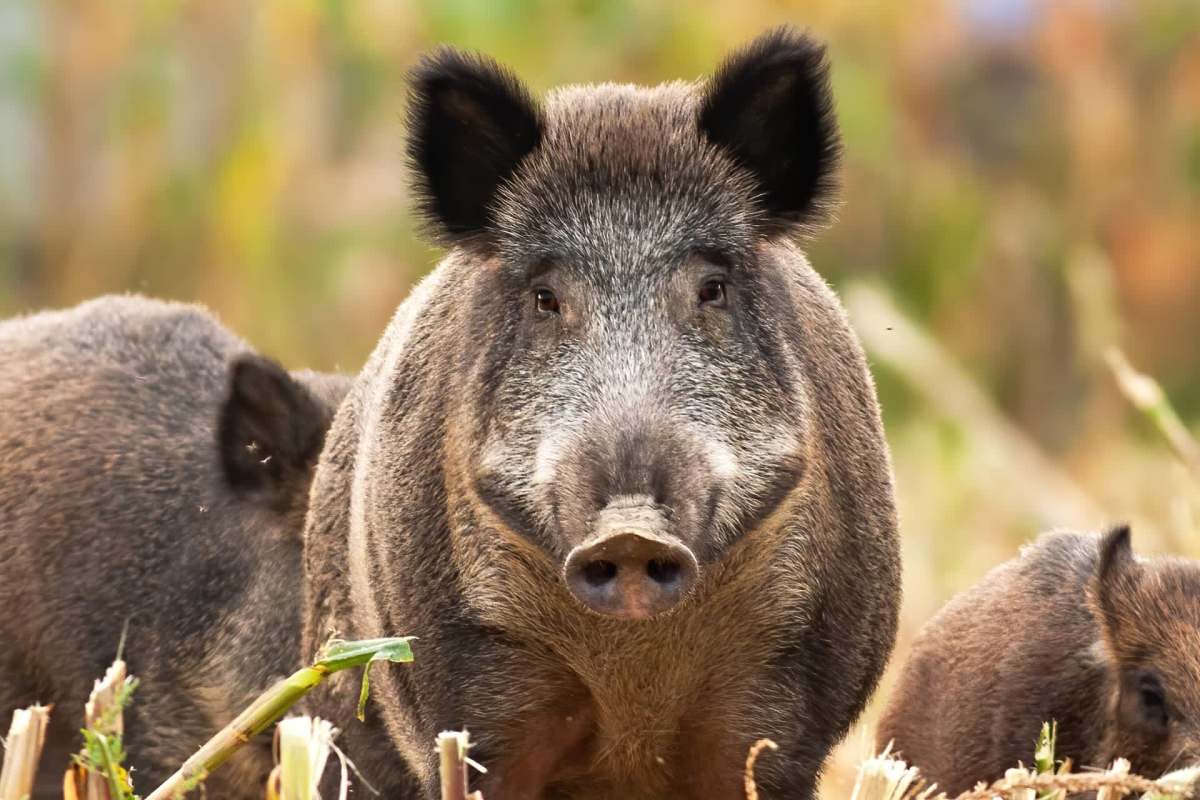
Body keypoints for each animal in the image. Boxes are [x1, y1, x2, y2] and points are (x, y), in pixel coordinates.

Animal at [302, 27, 901, 800]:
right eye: (545, 298)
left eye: (712, 288)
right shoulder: (469, 693)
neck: (633, 677)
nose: (630, 531)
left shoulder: (787, 699)